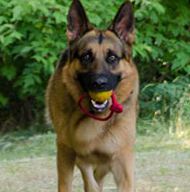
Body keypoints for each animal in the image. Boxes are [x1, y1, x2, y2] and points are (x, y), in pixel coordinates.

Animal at [45, 0, 138, 191]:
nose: (99, 83)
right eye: (86, 57)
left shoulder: (122, 160)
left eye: (112, 58)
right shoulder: (65, 151)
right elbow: (70, 183)